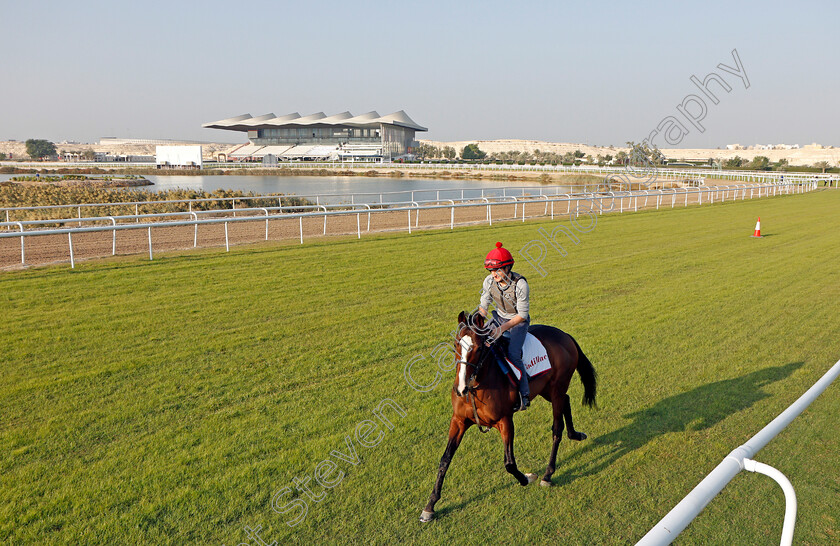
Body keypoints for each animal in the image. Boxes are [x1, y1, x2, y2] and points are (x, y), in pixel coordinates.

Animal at [420, 308, 596, 520]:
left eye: (478, 348)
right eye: (456, 344)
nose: (460, 389)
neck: (477, 385)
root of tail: (564, 335)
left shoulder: (505, 421)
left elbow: (509, 463)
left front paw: (527, 478)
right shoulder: (459, 421)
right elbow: (445, 460)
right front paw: (430, 505)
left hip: (557, 388)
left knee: (557, 428)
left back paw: (548, 474)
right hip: (548, 389)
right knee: (567, 401)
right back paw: (575, 434)